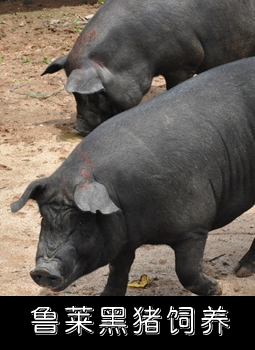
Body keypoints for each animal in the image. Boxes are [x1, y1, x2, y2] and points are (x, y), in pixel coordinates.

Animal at [12, 58, 255, 296]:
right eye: (43, 217)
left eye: (82, 221)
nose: (43, 270)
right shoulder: (123, 237)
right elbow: (118, 268)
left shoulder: (194, 228)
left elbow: (186, 271)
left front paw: (218, 288)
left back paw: (241, 272)